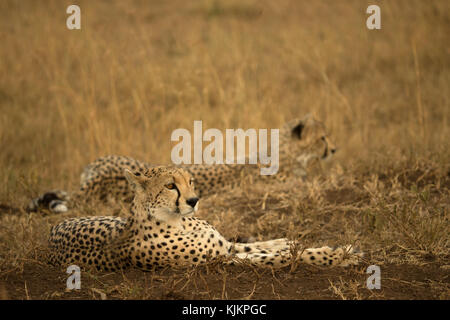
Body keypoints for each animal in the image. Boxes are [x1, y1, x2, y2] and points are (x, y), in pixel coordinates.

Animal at [48, 166, 362, 272]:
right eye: (170, 185)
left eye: (190, 181)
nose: (193, 200)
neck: (178, 222)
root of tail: (51, 234)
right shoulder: (221, 259)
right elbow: (279, 258)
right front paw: (339, 256)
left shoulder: (224, 245)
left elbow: (263, 245)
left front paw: (292, 241)